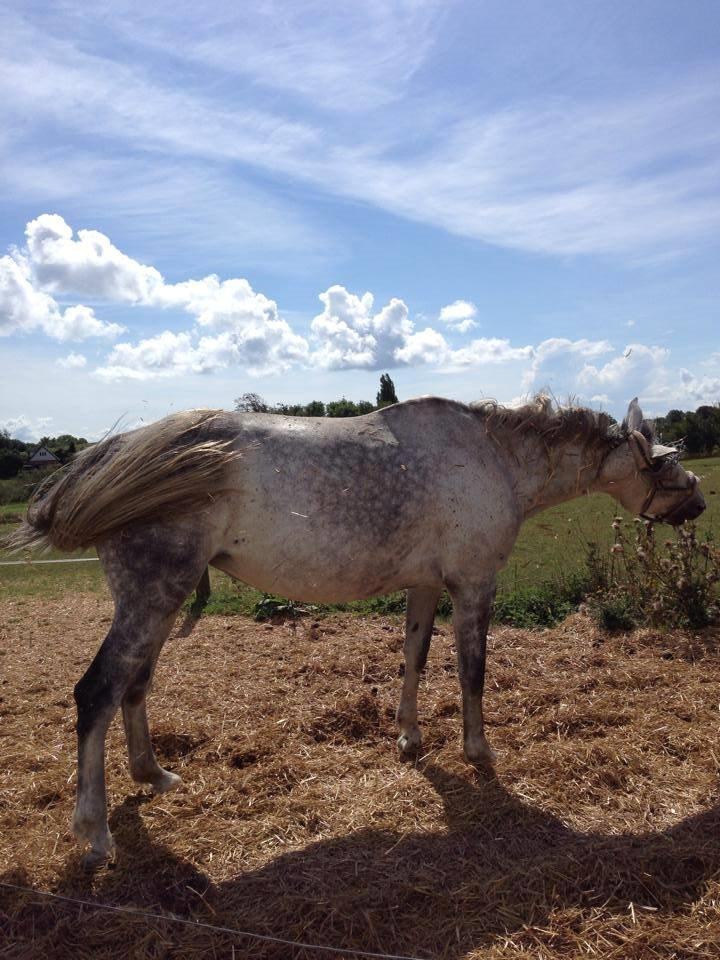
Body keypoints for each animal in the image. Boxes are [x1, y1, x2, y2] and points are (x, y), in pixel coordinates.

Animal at [9, 394, 704, 860]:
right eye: (662, 461)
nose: (698, 501)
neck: (494, 458)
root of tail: (109, 455)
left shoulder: (426, 586)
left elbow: (414, 660)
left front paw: (410, 738)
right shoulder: (474, 586)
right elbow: (473, 672)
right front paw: (479, 752)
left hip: (159, 603)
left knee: (134, 687)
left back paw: (153, 776)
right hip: (151, 598)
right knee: (97, 693)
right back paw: (94, 832)